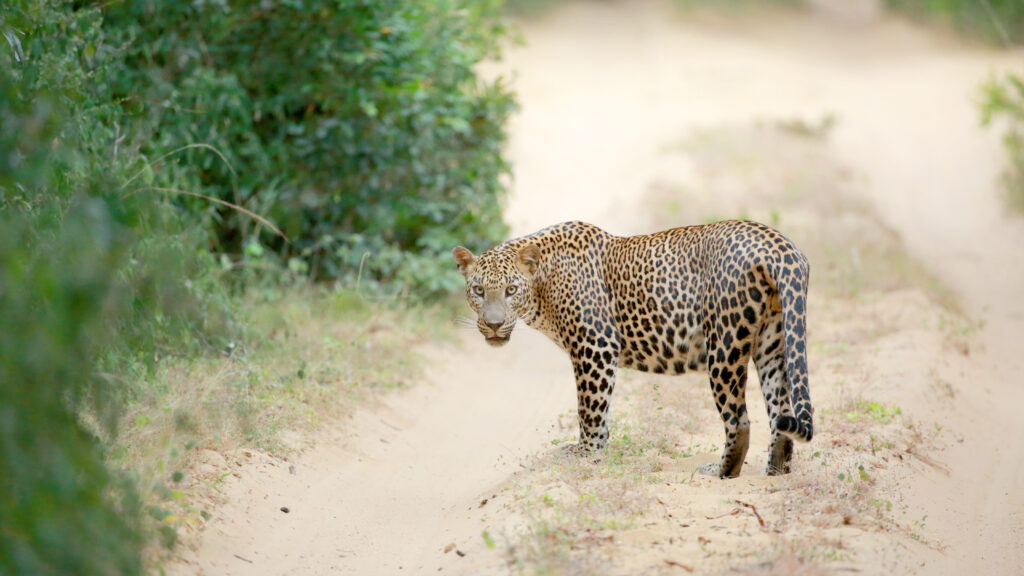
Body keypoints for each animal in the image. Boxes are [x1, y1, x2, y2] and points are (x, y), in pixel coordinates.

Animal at [453, 220, 813, 478]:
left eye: (511, 290)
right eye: (479, 290)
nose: (495, 323)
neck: (542, 282)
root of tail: (779, 245)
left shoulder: (594, 345)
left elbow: (590, 407)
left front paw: (586, 454)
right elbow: (600, 408)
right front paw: (598, 449)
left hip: (724, 345)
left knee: (740, 420)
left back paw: (721, 471)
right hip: (773, 343)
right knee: (780, 410)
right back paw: (776, 470)